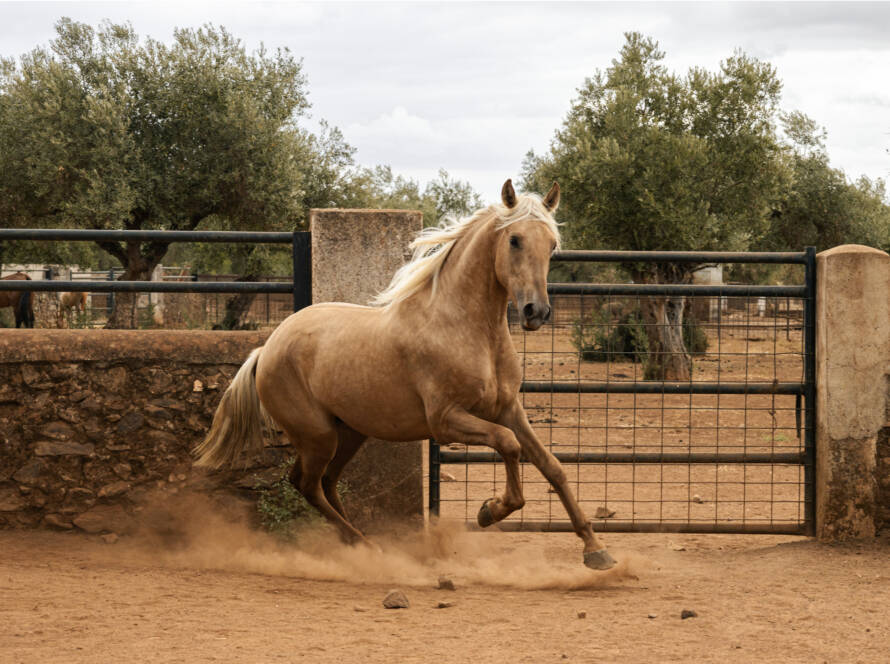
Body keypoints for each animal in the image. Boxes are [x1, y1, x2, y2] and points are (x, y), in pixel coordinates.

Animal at [195, 180, 616, 570]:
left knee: (326, 483)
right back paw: (367, 547)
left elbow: (552, 467)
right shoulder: (446, 420)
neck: (465, 329)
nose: (536, 312)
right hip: (318, 436)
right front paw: (490, 510)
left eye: (552, 245)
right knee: (308, 484)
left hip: (349, 432)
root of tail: (266, 349)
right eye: (514, 239)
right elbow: (508, 445)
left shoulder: (508, 408)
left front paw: (596, 550)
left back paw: (359, 545)